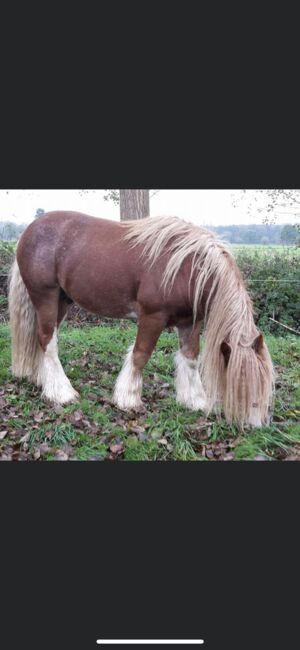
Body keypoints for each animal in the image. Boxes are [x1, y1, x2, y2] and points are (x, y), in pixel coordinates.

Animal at [7, 210, 274, 428]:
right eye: (243, 383)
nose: (256, 424)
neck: (188, 268)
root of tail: (29, 230)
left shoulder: (190, 322)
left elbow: (190, 358)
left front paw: (195, 401)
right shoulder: (152, 317)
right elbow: (140, 355)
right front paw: (128, 399)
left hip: (62, 301)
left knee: (43, 339)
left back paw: (44, 382)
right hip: (46, 297)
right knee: (47, 341)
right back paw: (62, 393)